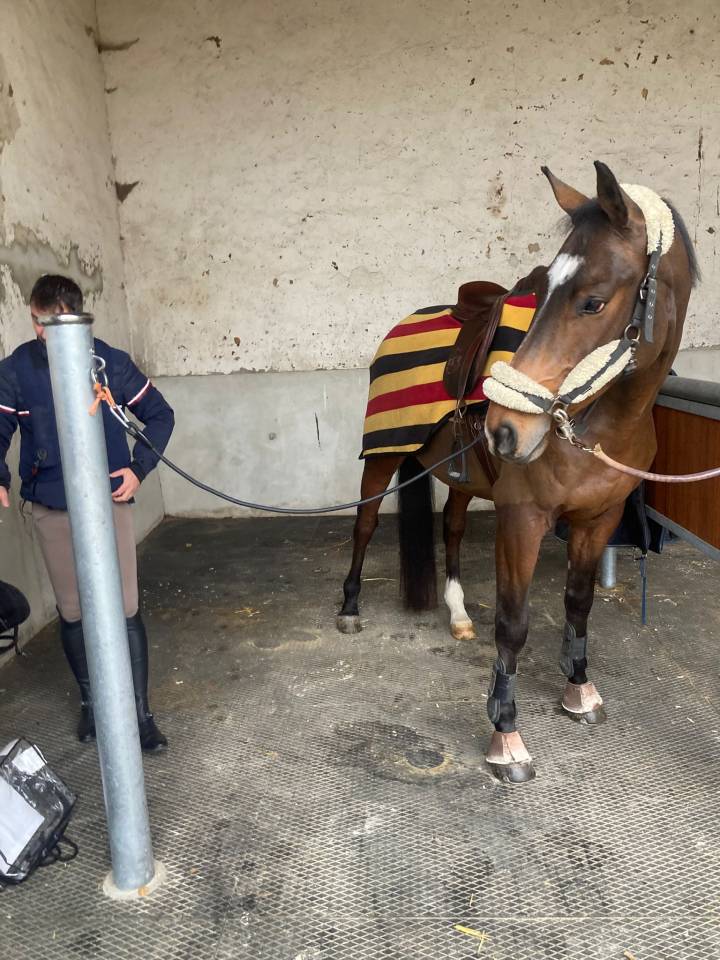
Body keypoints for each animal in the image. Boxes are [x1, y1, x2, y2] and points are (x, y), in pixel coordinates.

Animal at [336, 161, 697, 784]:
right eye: (545, 289)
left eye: (593, 302)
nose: (505, 430)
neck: (600, 421)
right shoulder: (523, 517)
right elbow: (513, 623)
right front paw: (505, 734)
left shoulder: (598, 518)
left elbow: (578, 602)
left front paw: (579, 689)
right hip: (381, 458)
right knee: (364, 527)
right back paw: (351, 606)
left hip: (462, 477)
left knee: (453, 529)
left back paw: (458, 615)